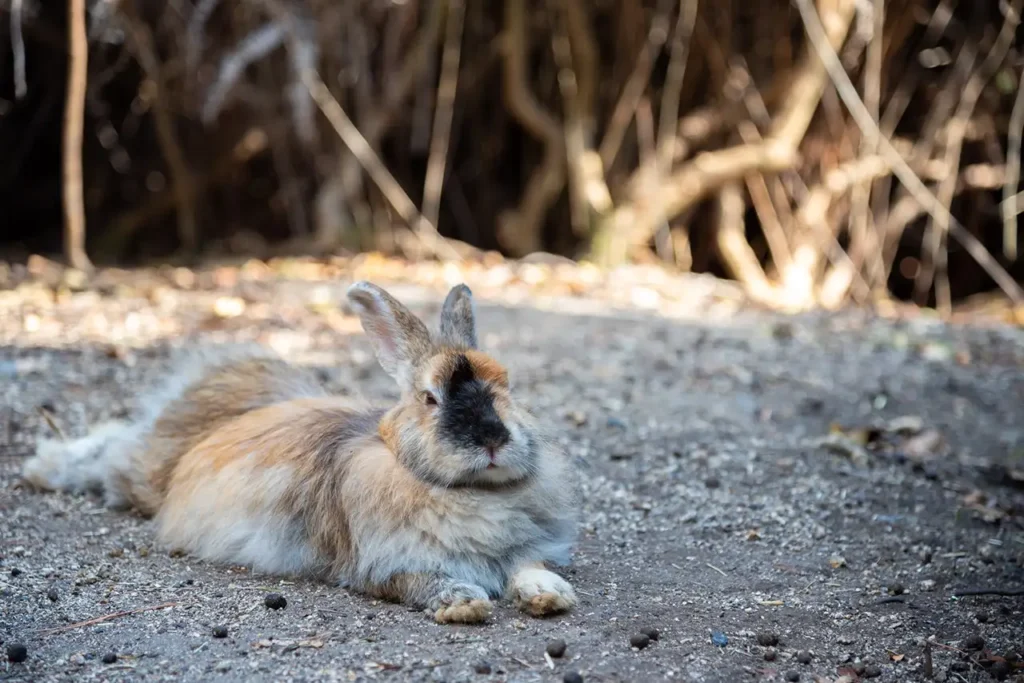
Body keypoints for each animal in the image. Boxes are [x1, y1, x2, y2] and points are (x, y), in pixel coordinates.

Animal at [22, 280, 577, 622]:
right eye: (429, 398)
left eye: (506, 387)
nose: (492, 439)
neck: (469, 492)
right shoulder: (382, 566)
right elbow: (424, 581)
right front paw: (463, 603)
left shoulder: (520, 549)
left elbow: (528, 567)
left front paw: (552, 595)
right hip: (139, 473)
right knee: (110, 447)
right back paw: (38, 468)